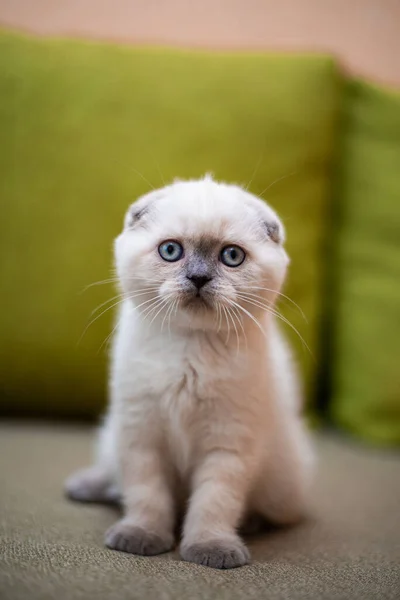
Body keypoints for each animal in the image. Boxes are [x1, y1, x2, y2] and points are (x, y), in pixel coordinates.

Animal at [65, 176, 314, 568]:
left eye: (231, 256)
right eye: (171, 251)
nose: (198, 278)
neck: (189, 348)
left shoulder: (227, 445)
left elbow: (213, 504)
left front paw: (211, 549)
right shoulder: (142, 434)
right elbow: (147, 495)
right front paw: (141, 536)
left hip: (283, 490)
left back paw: (252, 523)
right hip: (116, 431)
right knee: (109, 471)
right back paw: (84, 487)